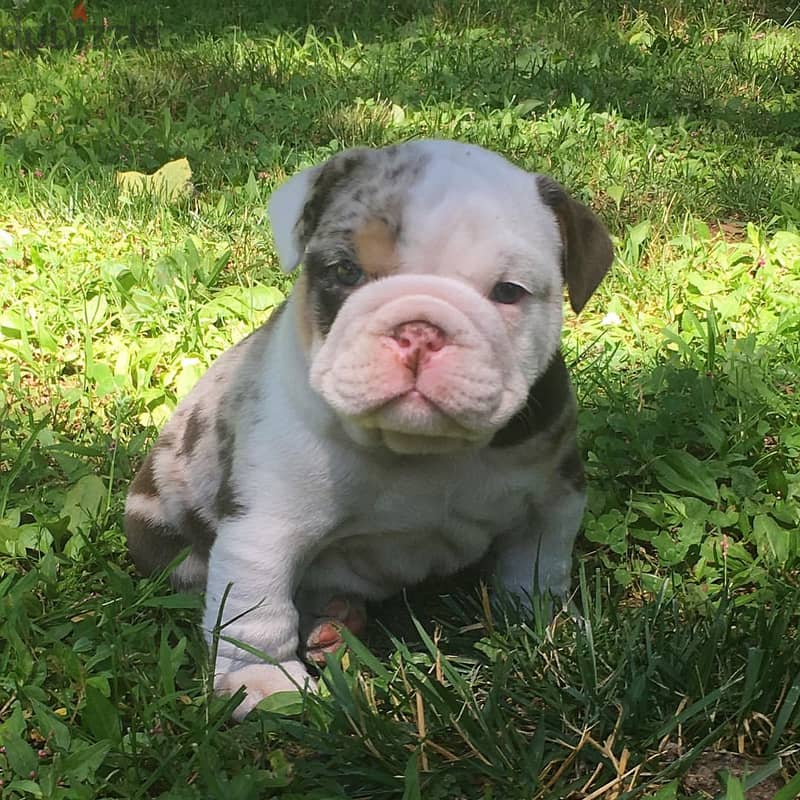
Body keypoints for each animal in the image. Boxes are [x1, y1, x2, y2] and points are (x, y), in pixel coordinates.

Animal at [123, 141, 612, 720]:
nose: (419, 330)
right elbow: (256, 613)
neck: (418, 450)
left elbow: (537, 568)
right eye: (346, 271)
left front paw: (549, 627)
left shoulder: (553, 497)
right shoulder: (265, 528)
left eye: (508, 292)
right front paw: (263, 683)